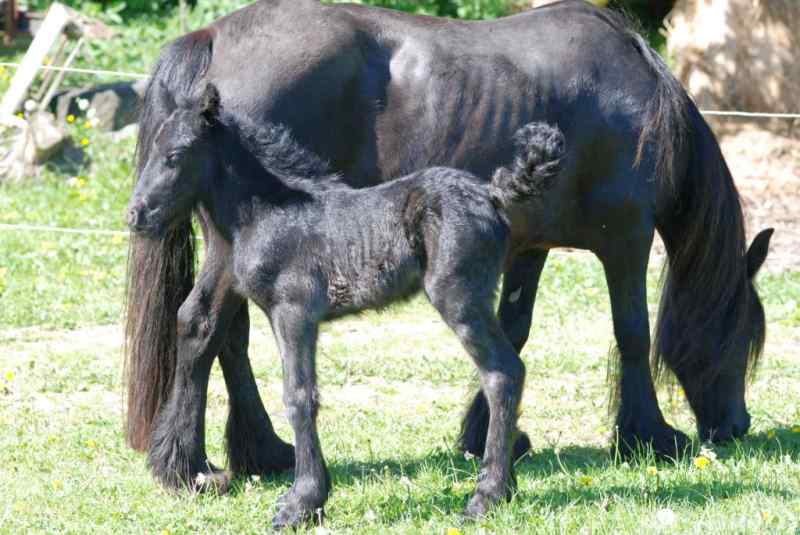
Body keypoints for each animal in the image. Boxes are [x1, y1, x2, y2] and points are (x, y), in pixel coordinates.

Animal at [128, 85, 564, 532]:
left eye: (176, 154)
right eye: (153, 148)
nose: (136, 214)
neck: (269, 211)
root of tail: (492, 194)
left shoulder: (294, 312)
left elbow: (299, 396)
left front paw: (302, 503)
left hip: (461, 296)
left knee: (502, 373)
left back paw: (486, 497)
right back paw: (504, 488)